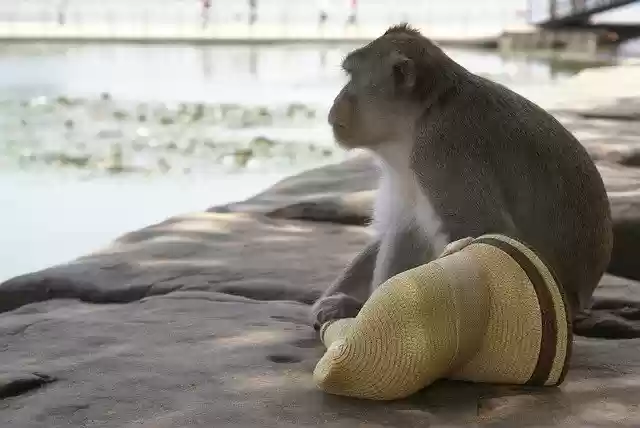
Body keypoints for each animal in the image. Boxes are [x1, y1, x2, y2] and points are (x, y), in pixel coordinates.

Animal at [310, 23, 614, 336]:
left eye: (351, 76)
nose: (335, 102)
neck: (420, 117)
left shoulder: (440, 152)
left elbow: (489, 236)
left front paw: (355, 308)